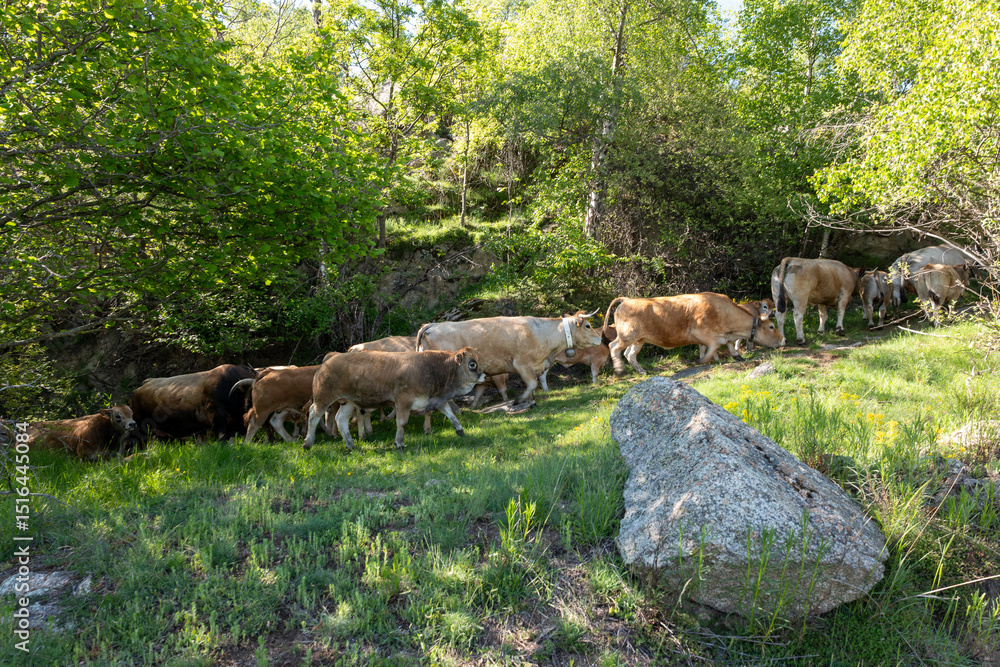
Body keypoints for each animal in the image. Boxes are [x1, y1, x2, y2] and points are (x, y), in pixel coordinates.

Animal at [302, 348, 485, 451]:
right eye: (472, 364)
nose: (484, 375)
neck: (431, 369)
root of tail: (329, 360)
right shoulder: (403, 401)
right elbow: (402, 423)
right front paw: (399, 443)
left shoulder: (433, 399)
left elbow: (450, 413)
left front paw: (460, 430)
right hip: (323, 397)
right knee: (314, 416)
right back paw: (308, 443)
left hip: (348, 401)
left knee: (341, 420)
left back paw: (350, 444)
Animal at [415, 311, 602, 404]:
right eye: (588, 326)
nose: (600, 339)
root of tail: (432, 325)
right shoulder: (521, 364)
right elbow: (532, 384)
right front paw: (519, 400)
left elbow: (533, 385)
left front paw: (530, 400)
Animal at [604, 292, 785, 374]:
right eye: (771, 327)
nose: (783, 340)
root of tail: (628, 299)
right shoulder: (700, 331)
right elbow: (713, 345)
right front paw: (703, 360)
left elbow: (723, 343)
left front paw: (735, 355)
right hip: (628, 335)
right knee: (614, 346)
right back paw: (619, 369)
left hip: (639, 339)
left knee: (630, 354)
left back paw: (641, 371)